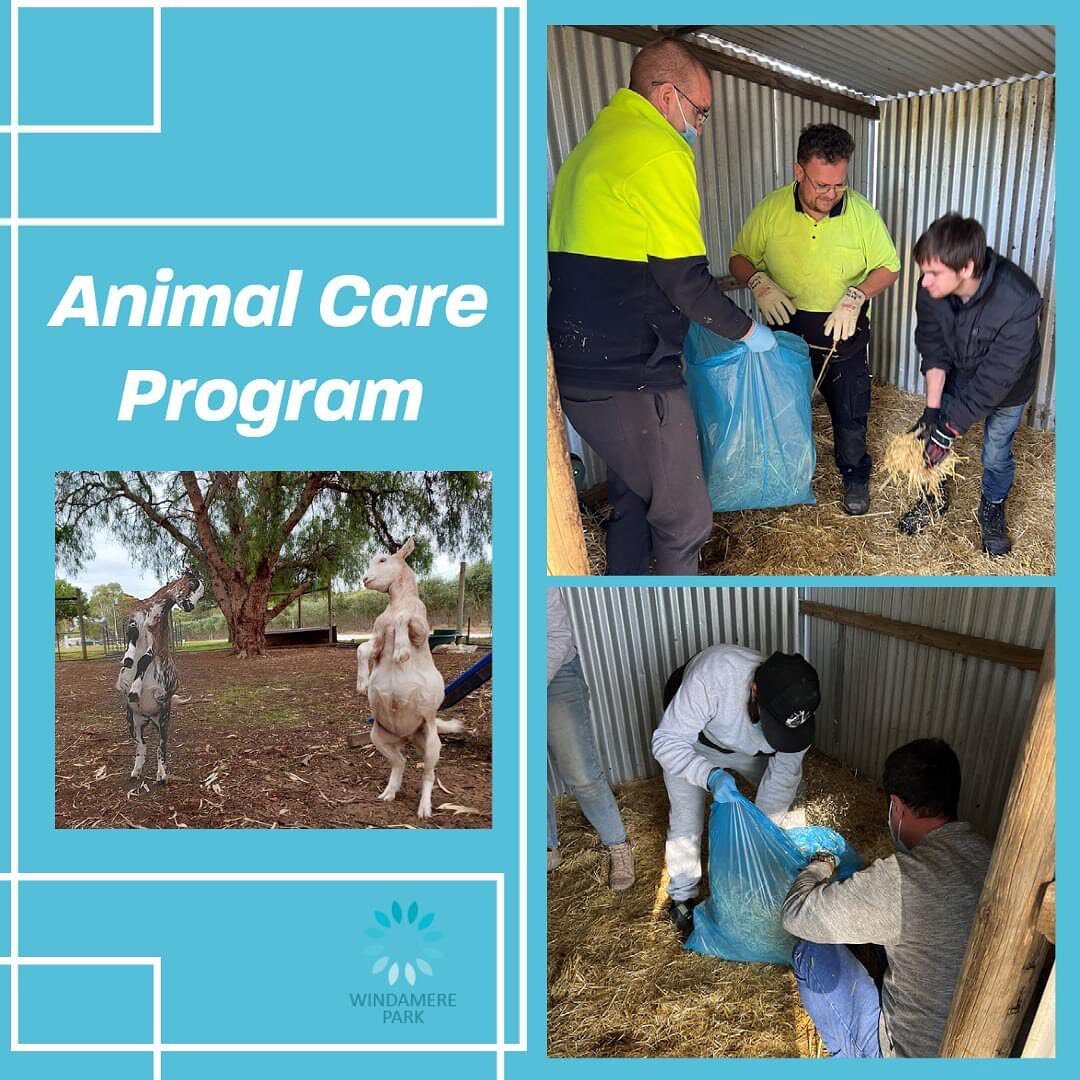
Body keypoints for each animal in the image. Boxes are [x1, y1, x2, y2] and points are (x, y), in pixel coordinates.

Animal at [116, 570, 204, 781]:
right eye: (192, 584)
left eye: (201, 594)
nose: (190, 606)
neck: (153, 609)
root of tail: (148, 717)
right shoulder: (133, 622)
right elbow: (132, 641)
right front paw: (127, 662)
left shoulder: (155, 639)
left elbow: (144, 660)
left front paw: (134, 691)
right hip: (133, 720)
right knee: (142, 745)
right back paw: (136, 771)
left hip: (163, 718)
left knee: (161, 746)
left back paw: (161, 775)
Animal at [360, 540, 462, 816]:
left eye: (383, 559)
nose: (365, 579)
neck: (399, 601)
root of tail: (406, 736)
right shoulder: (378, 640)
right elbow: (361, 648)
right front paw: (362, 683)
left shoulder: (420, 629)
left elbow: (404, 619)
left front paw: (402, 652)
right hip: (379, 737)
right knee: (400, 761)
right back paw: (388, 793)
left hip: (431, 744)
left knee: (428, 773)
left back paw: (424, 808)